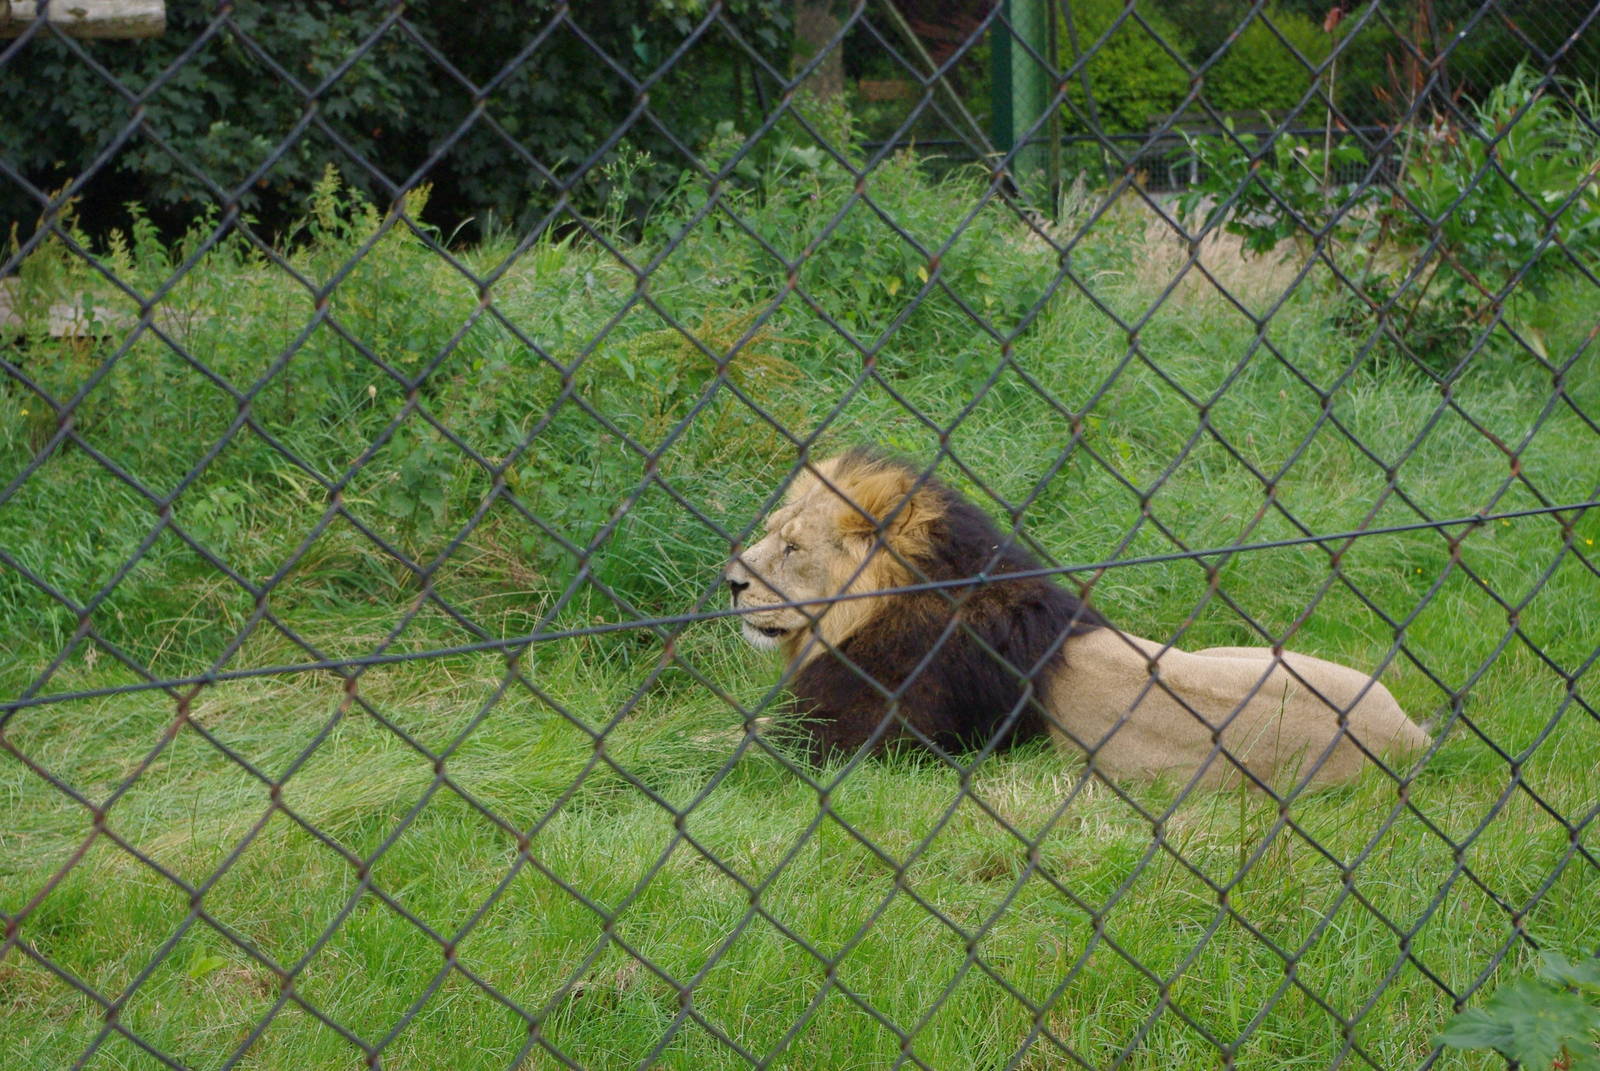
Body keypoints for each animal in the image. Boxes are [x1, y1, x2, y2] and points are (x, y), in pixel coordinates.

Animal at [725, 448, 1430, 789]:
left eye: (792, 549)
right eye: (772, 530)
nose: (729, 582)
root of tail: (1410, 737)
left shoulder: (867, 741)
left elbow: (739, 736)